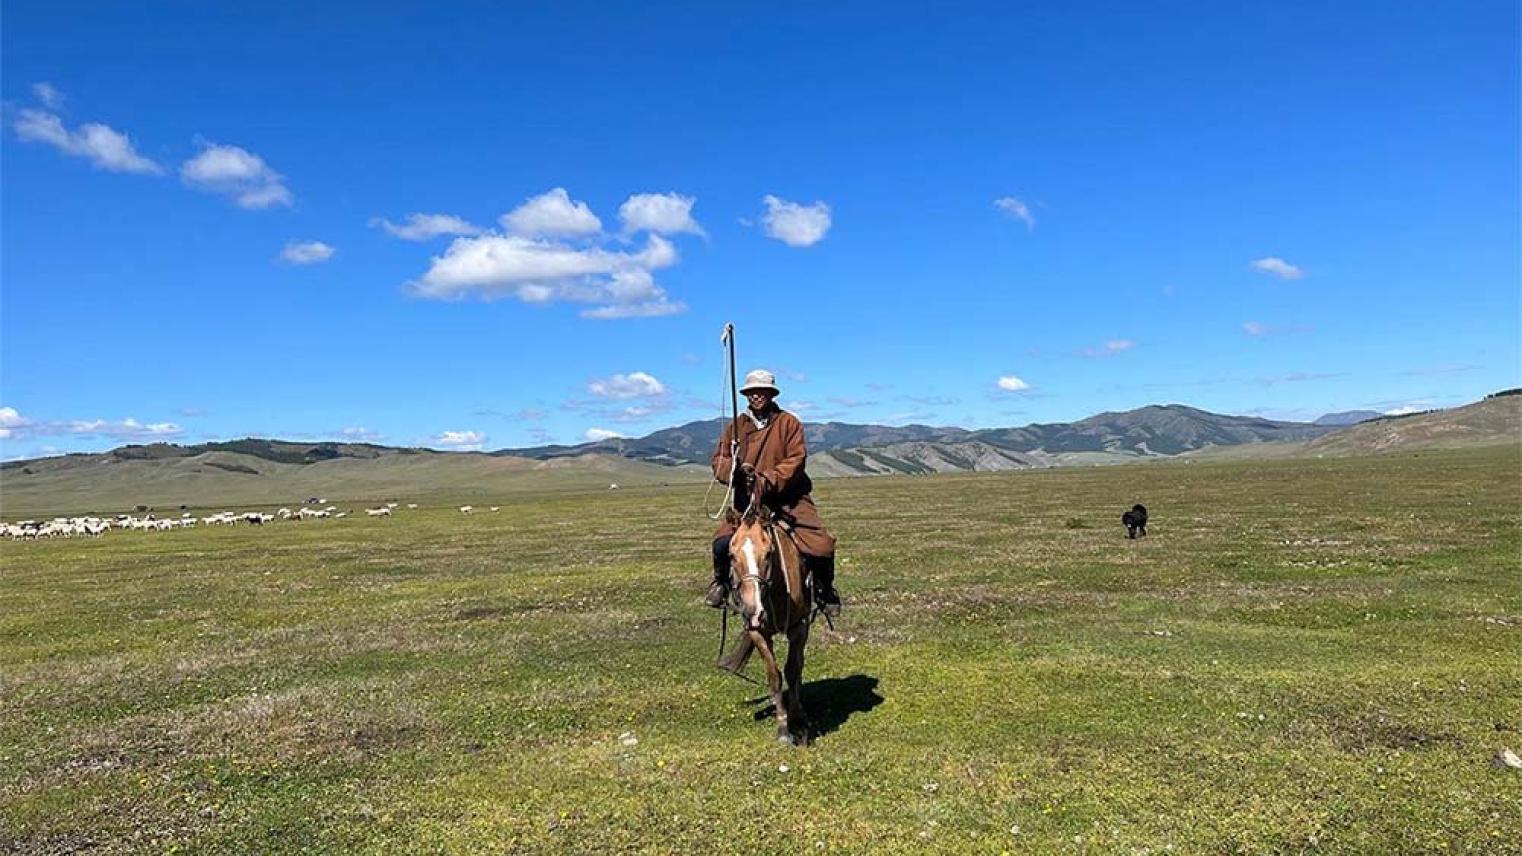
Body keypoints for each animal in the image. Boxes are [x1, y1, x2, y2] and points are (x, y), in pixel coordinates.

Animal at [718, 481, 815, 740]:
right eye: (731, 555)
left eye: (769, 553)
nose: (754, 611)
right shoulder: (757, 632)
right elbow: (774, 675)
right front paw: (783, 727)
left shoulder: (799, 627)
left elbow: (792, 670)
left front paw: (798, 719)